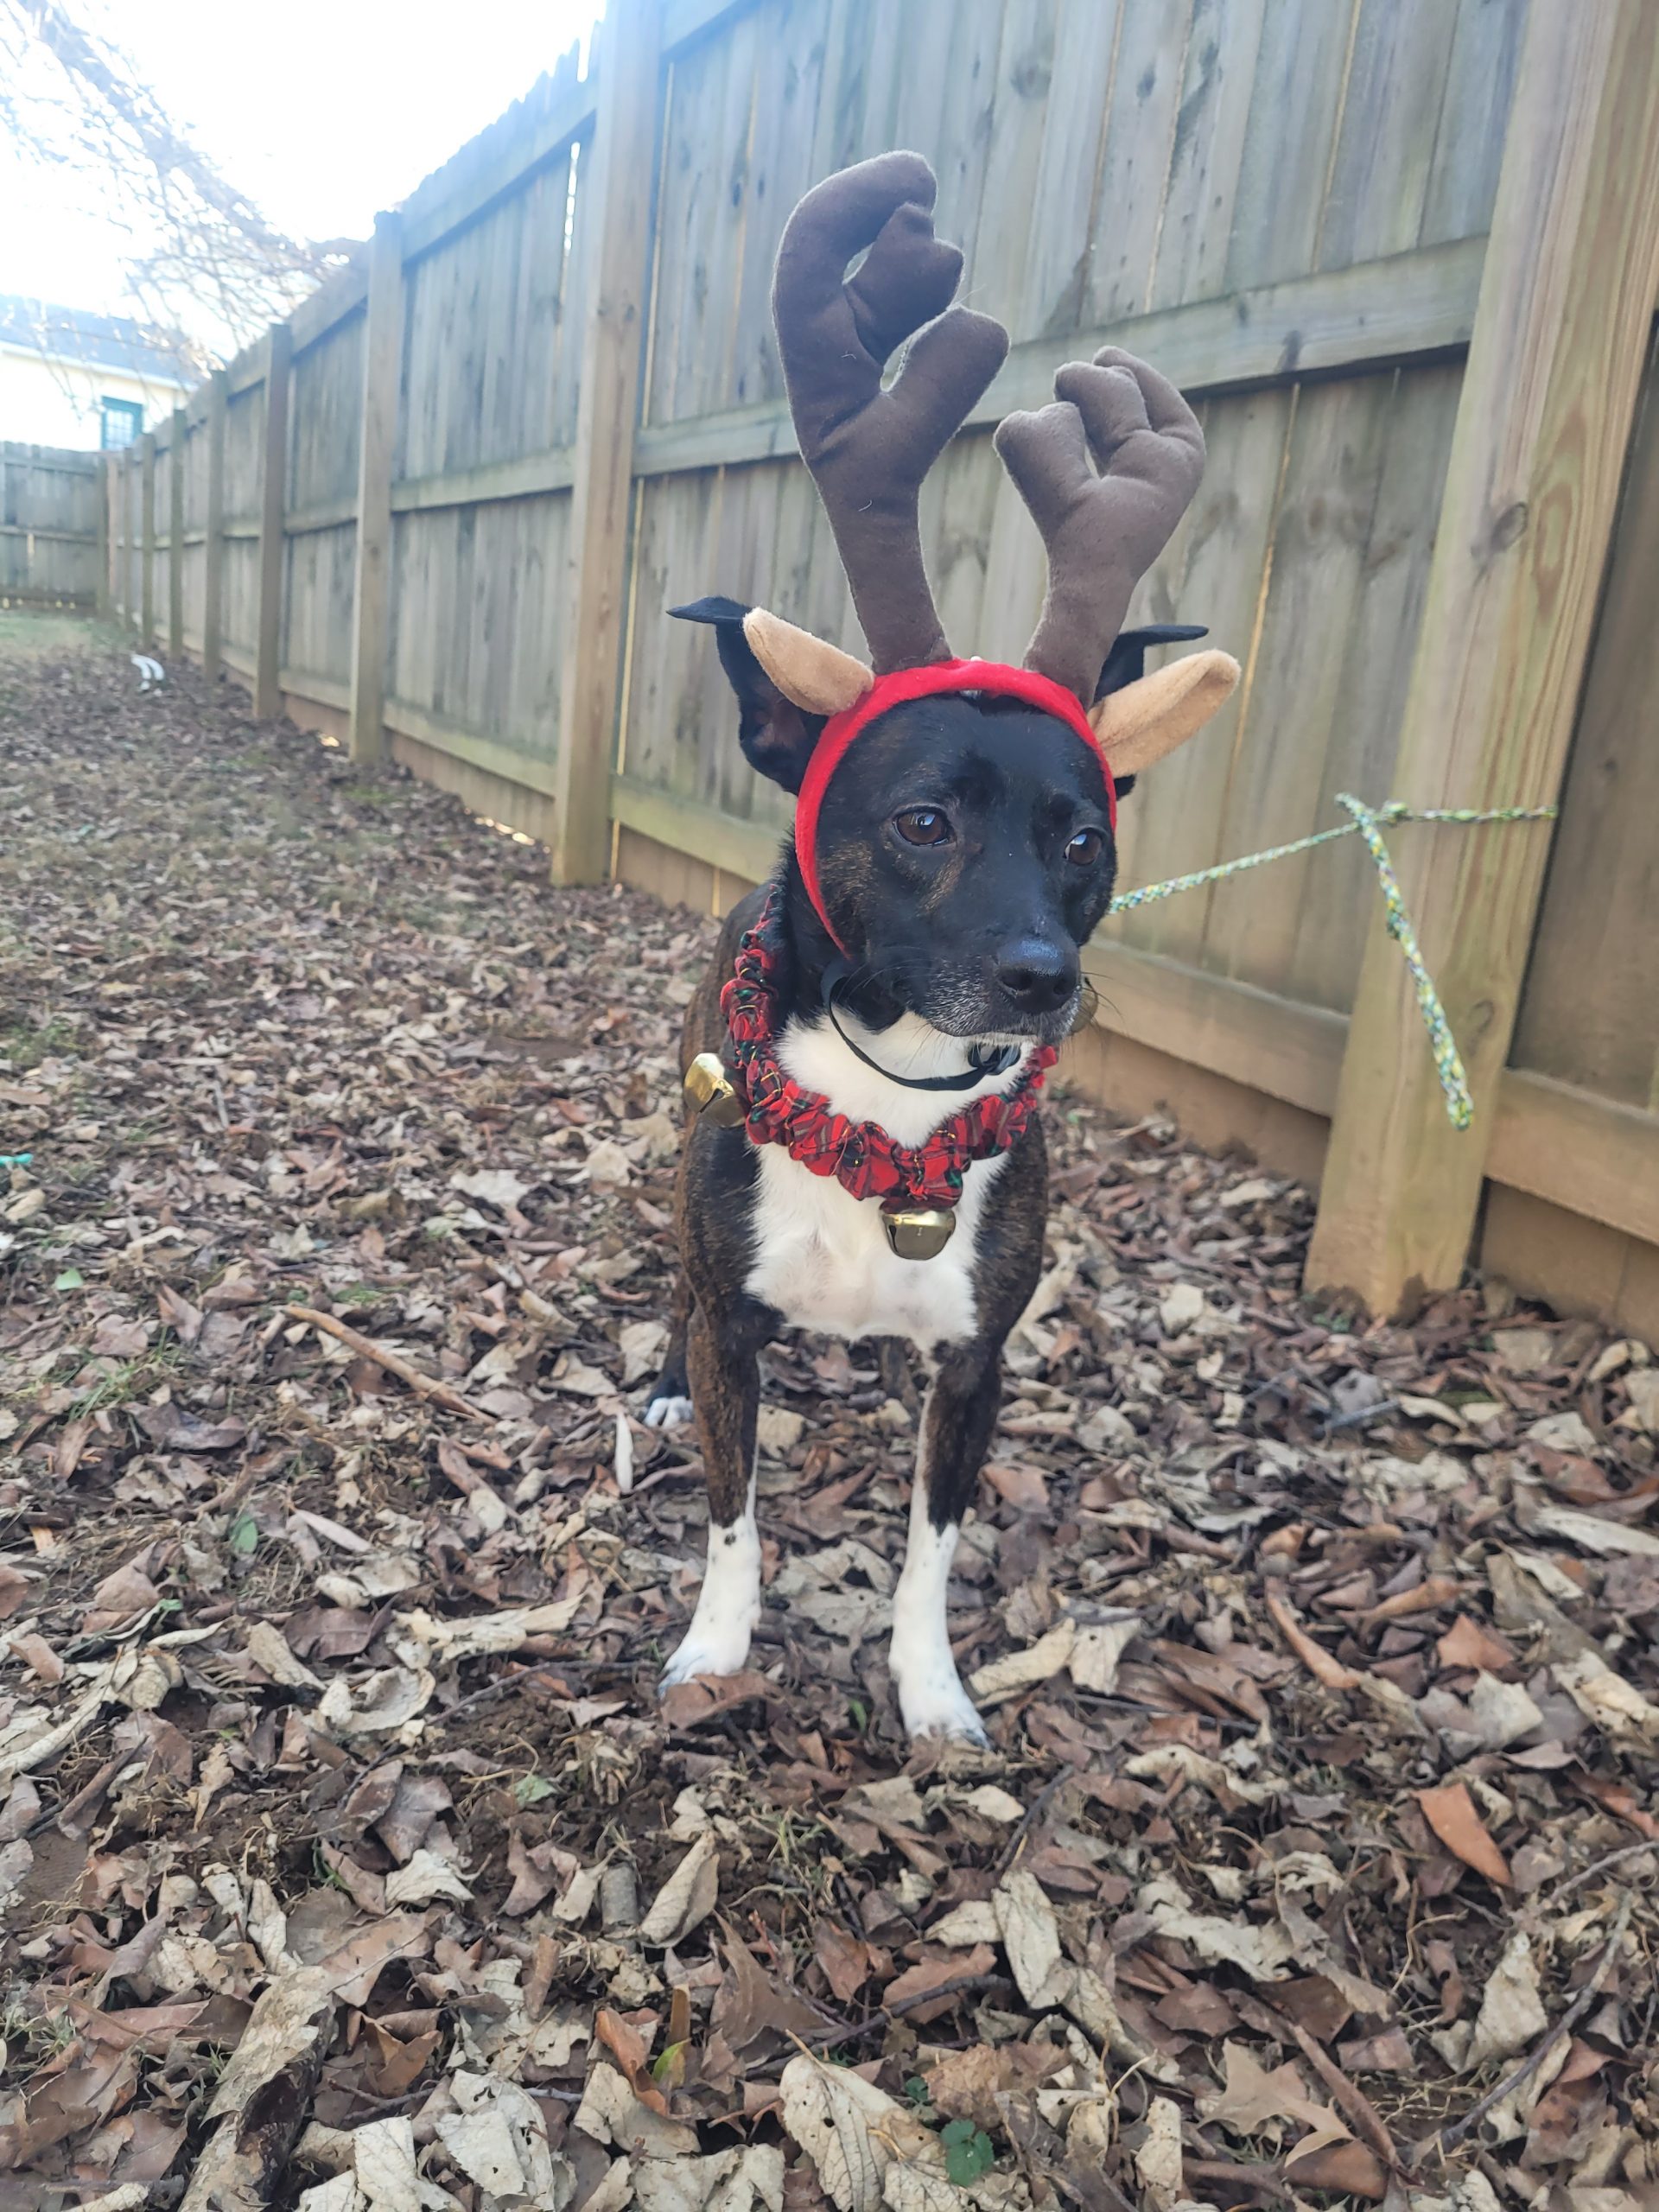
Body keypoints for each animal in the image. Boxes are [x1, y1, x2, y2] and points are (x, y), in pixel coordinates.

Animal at [643, 152, 1238, 1742]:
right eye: (923, 823)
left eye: (1085, 840)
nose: (1045, 981)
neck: (886, 1113)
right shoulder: (735, 1329)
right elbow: (734, 1512)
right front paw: (717, 1649)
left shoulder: (977, 1365)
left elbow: (932, 1546)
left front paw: (931, 1693)